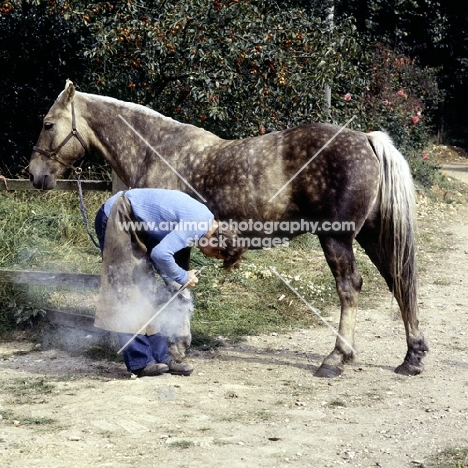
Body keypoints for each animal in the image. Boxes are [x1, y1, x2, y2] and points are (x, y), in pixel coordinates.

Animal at [28, 80, 428, 378]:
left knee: (350, 288)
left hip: (336, 237)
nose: (35, 175)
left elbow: (174, 290)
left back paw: (335, 359)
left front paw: (178, 348)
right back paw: (412, 357)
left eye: (48, 124)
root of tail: (367, 139)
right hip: (371, 235)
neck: (156, 149)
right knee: (398, 281)